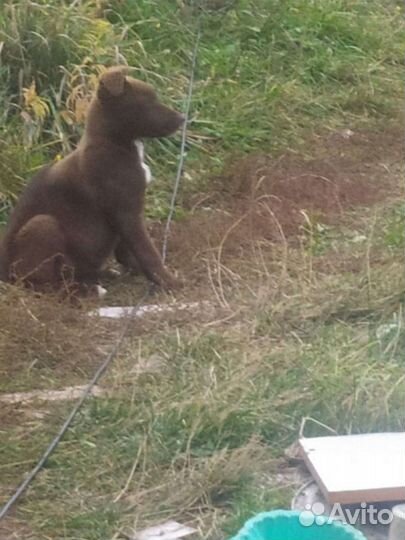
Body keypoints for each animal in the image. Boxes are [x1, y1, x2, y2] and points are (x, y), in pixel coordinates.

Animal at [0, 67, 183, 298]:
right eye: (148, 102)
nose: (182, 118)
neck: (112, 142)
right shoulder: (127, 211)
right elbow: (148, 252)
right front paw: (169, 282)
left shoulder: (124, 214)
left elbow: (128, 251)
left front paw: (139, 272)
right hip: (42, 225)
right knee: (41, 283)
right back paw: (84, 289)